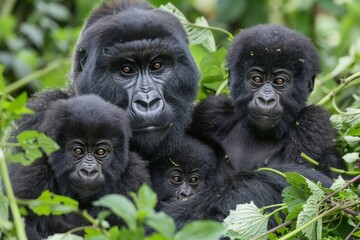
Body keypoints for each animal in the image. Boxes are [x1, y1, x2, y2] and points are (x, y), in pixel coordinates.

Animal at [163, 24, 338, 229]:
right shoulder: (211, 113)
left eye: (279, 81)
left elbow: (305, 187)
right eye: (257, 79)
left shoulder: (314, 125)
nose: (266, 99)